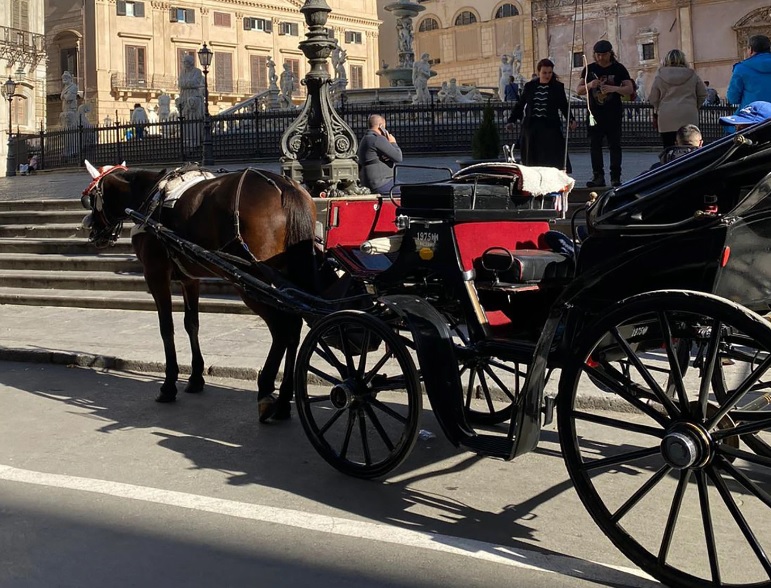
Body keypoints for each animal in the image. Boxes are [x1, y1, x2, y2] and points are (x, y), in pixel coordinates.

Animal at [80, 161, 318, 422]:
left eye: (89, 200)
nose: (89, 228)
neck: (148, 197)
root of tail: (285, 188)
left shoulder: (155, 273)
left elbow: (166, 328)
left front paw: (169, 384)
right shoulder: (189, 278)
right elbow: (191, 323)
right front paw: (195, 377)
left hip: (250, 281)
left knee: (282, 328)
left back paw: (267, 391)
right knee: (294, 326)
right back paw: (285, 399)